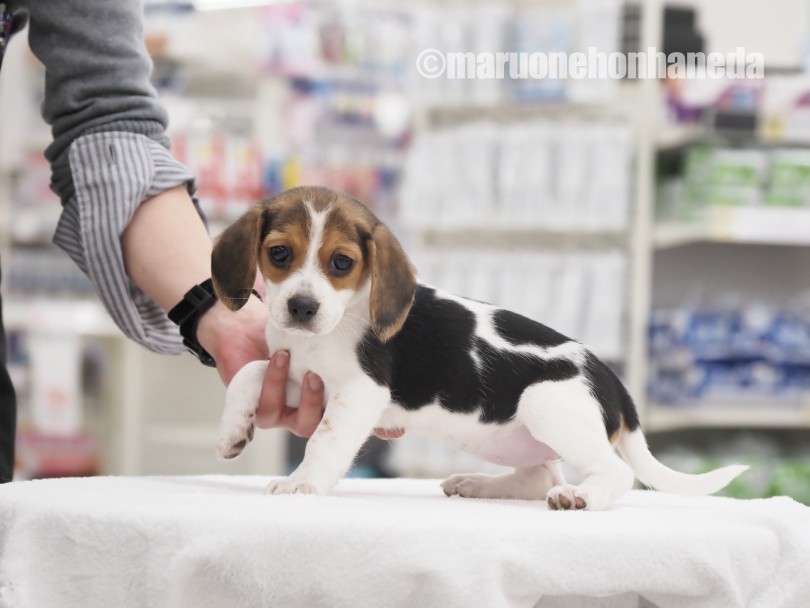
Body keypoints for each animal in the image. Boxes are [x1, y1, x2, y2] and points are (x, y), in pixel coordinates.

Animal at [210, 188, 744, 510]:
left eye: (341, 262)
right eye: (279, 254)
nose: (302, 307)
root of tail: (613, 381)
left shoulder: (358, 393)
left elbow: (322, 441)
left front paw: (301, 483)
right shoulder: (301, 378)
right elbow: (250, 372)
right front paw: (232, 429)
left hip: (547, 403)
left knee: (614, 473)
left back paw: (580, 497)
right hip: (514, 436)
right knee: (540, 474)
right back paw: (480, 484)